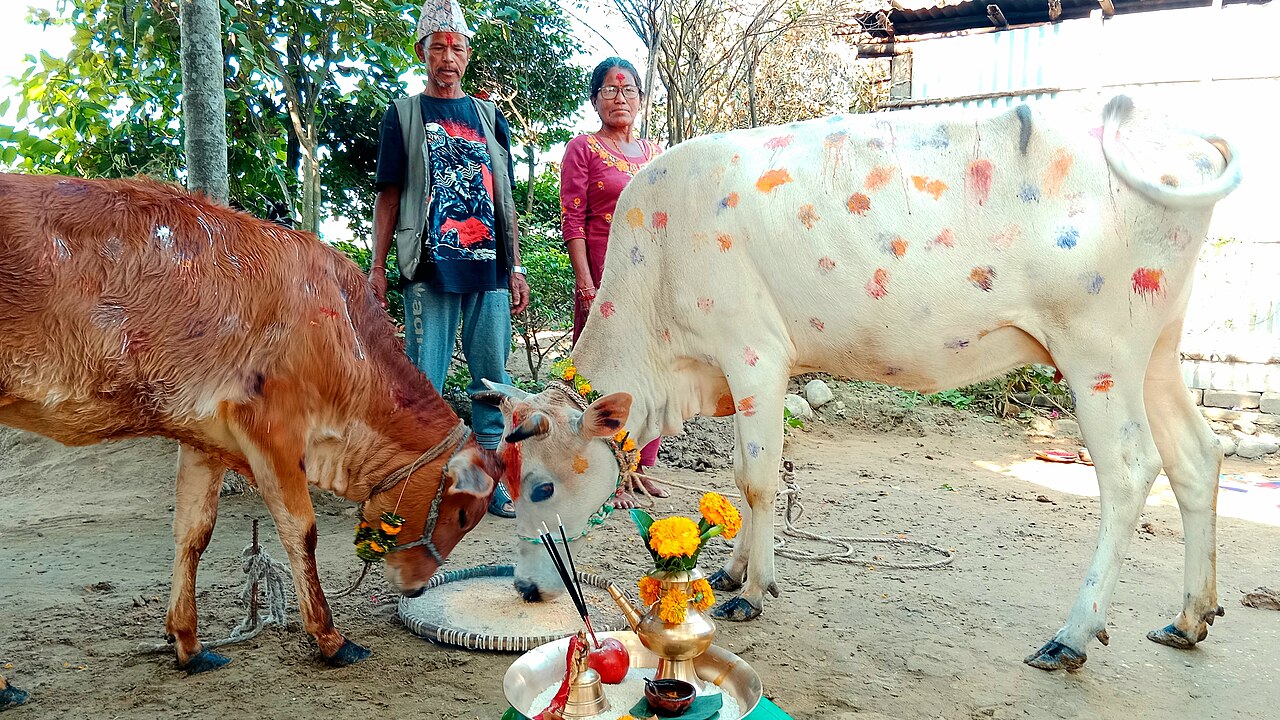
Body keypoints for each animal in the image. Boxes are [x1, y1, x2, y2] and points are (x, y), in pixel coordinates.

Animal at [0, 173, 500, 673]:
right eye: (462, 515)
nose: (416, 589)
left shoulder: (201, 436)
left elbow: (193, 532)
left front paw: (188, 643)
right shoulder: (272, 430)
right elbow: (301, 531)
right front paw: (330, 638)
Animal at [481, 96, 1243, 672]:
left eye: (542, 486)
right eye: (504, 481)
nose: (524, 589)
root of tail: (1186, 140)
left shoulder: (753, 351)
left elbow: (753, 476)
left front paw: (753, 589)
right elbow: (750, 475)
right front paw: (731, 569)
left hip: (1098, 351)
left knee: (1131, 469)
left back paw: (1073, 634)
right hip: (1157, 351)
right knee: (1197, 456)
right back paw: (1190, 617)